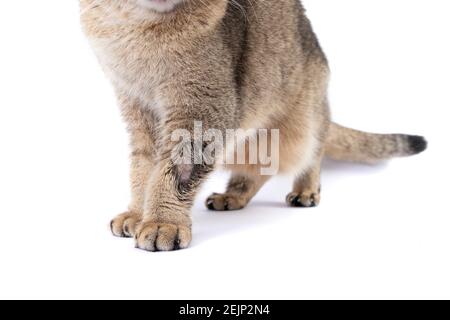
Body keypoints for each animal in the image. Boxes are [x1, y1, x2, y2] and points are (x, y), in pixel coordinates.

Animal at [79, 0, 428, 251]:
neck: (140, 29)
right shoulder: (137, 108)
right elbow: (143, 169)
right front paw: (137, 214)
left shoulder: (203, 110)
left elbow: (175, 173)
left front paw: (163, 222)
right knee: (260, 167)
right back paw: (232, 196)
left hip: (307, 110)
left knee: (312, 150)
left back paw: (305, 189)